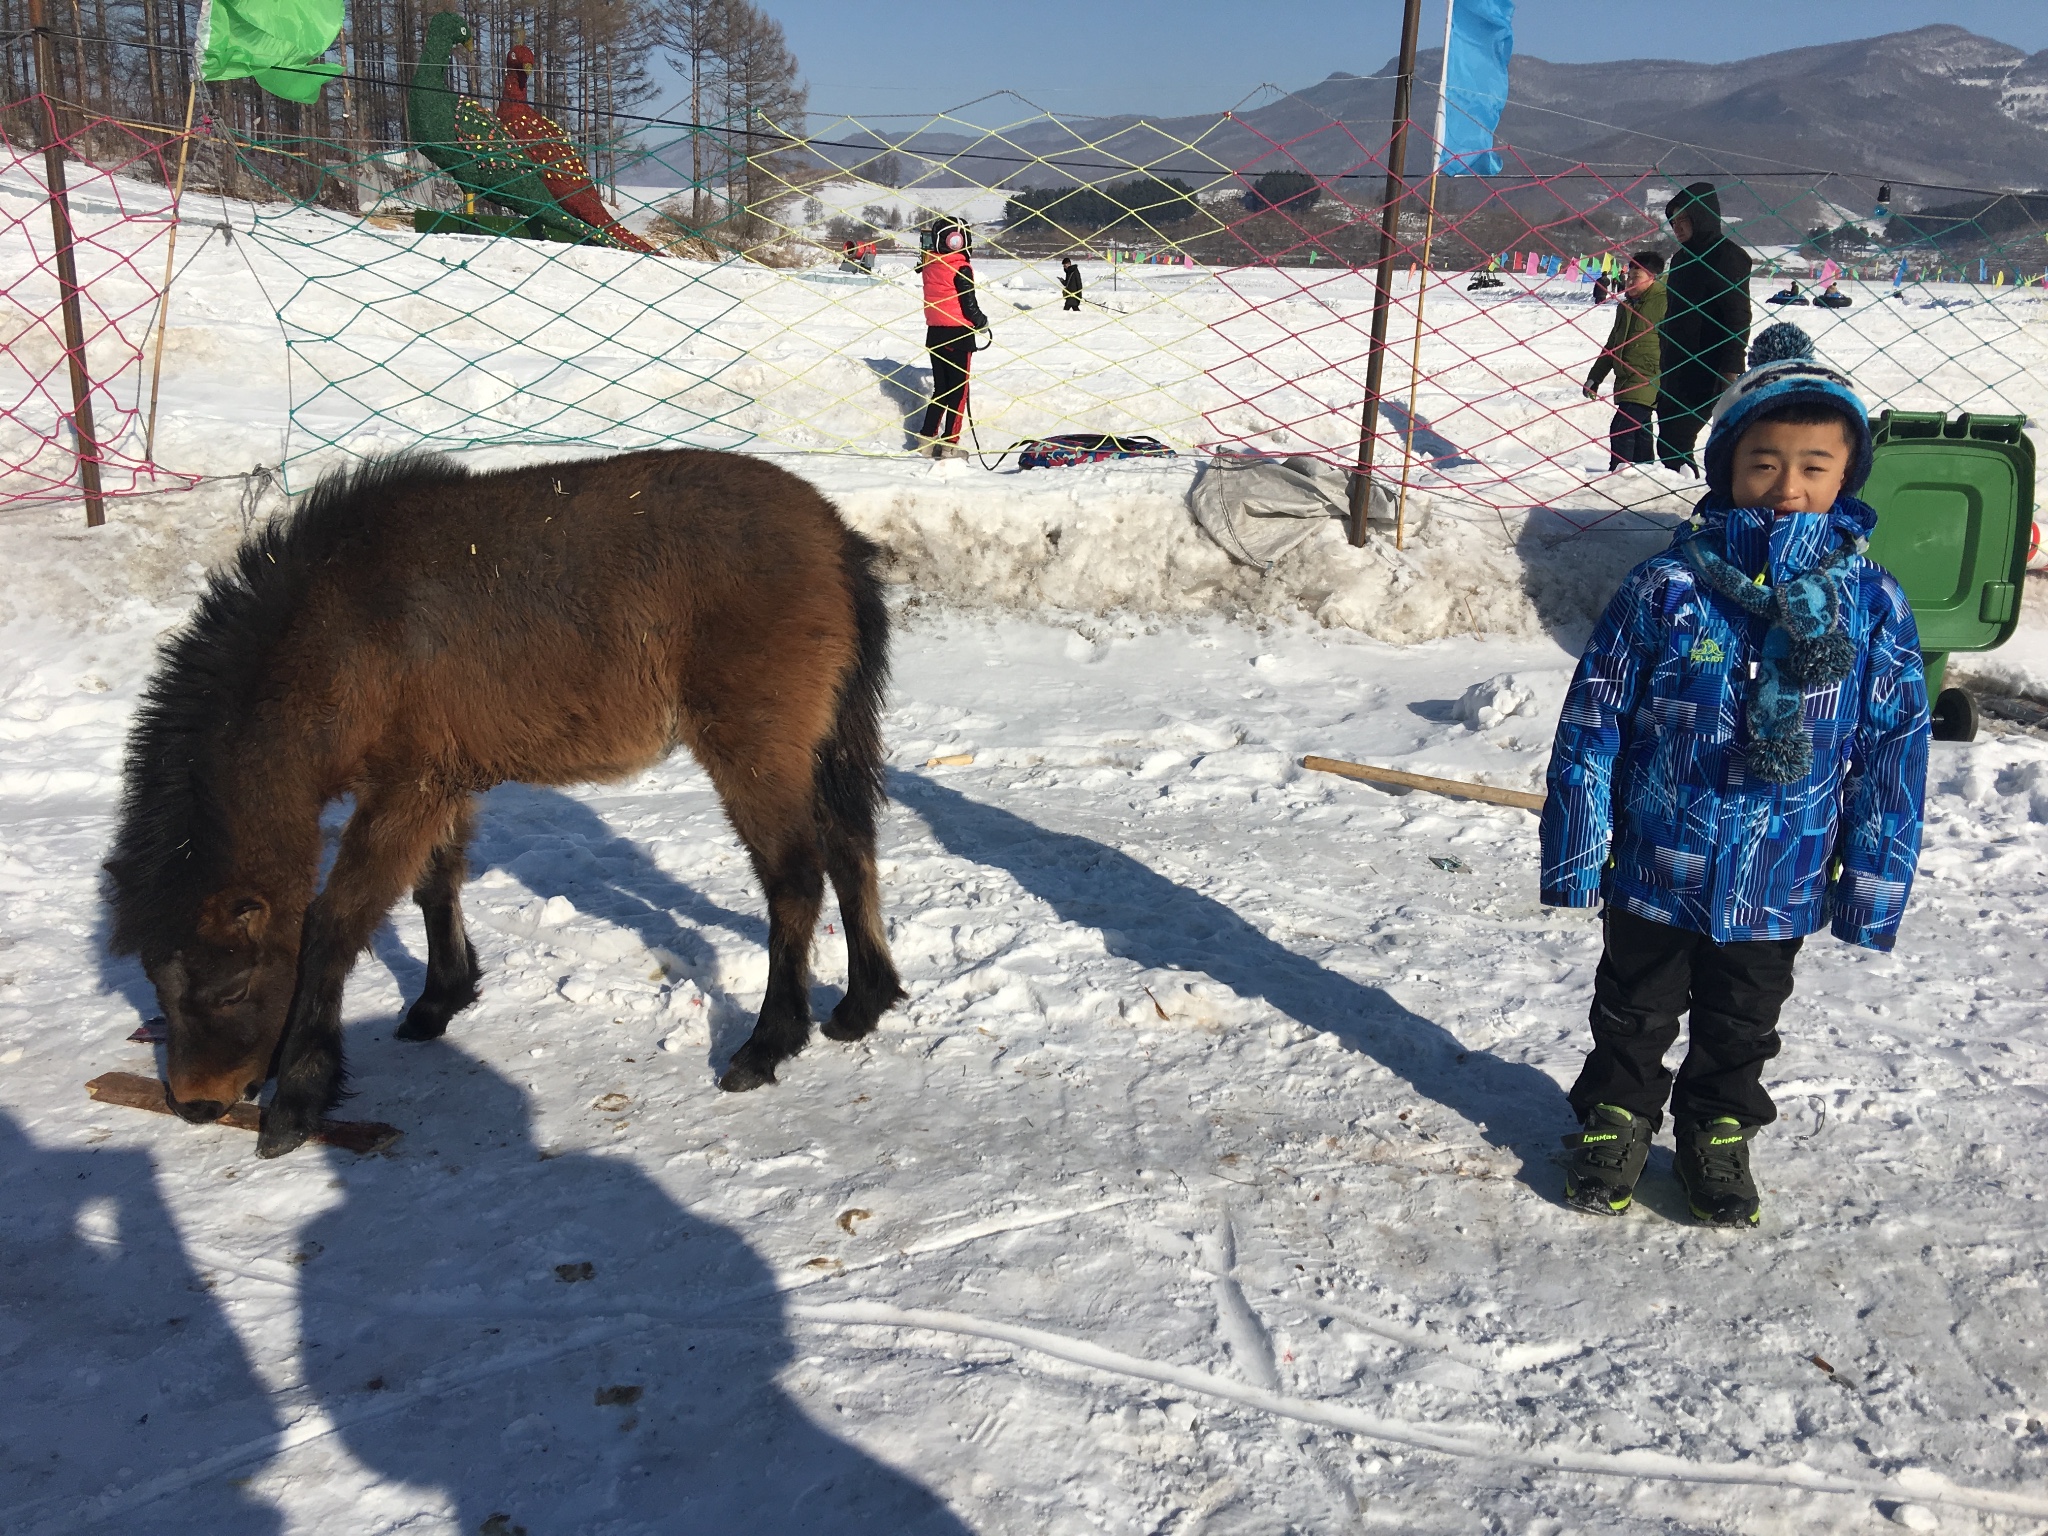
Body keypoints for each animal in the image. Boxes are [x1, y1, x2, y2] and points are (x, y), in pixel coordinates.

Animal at [103, 450, 905, 1163]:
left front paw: (298, 1099)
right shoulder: (442, 785)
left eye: (233, 986)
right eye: (158, 987)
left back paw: (767, 1044)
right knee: (851, 850)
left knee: (796, 877)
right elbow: (436, 887)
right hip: (822, 747)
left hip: (753, 753)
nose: (197, 1104)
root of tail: (835, 536)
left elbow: (335, 923)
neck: (339, 629)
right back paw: (861, 1004)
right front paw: (441, 998)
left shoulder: (407, 789)